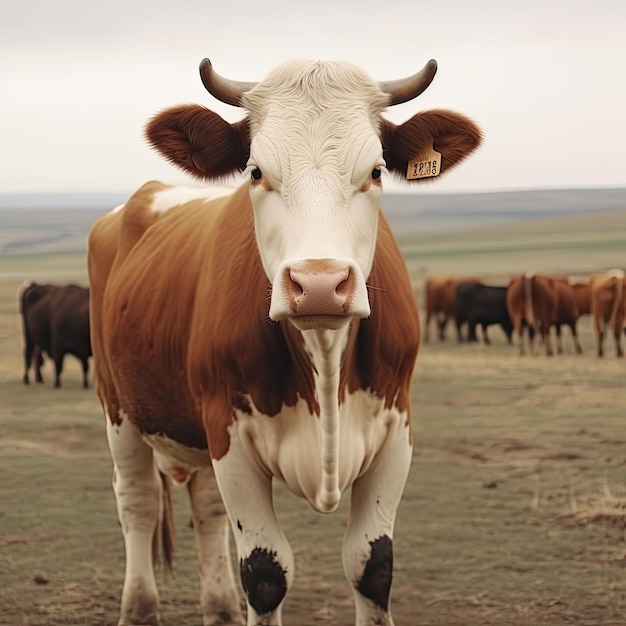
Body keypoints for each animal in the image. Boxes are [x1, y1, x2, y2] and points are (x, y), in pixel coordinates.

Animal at [86, 57, 478, 624]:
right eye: (256, 172)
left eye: (376, 171)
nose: (319, 283)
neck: (325, 360)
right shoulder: (228, 433)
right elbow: (265, 573)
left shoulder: (397, 429)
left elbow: (372, 565)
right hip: (119, 406)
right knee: (137, 502)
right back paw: (139, 606)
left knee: (205, 509)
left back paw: (221, 607)